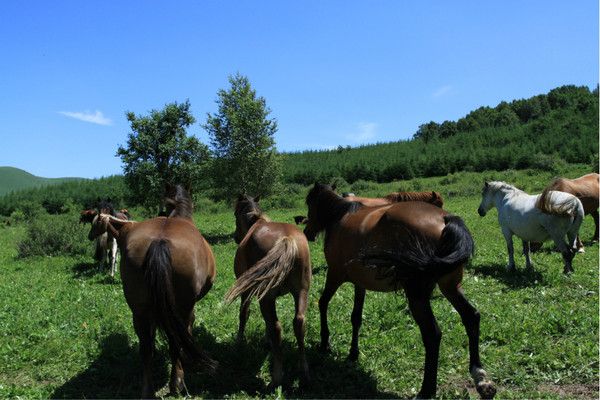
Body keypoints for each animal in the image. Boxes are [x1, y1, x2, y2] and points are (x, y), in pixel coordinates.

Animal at [88, 184, 217, 396]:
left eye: (96, 221)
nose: (90, 235)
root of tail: (160, 242)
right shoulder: (187, 309)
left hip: (139, 311)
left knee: (146, 349)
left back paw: (147, 389)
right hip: (180, 309)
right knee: (175, 341)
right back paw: (177, 382)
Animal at [226, 195, 314, 390]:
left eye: (235, 214)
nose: (236, 237)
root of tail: (286, 239)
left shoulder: (248, 292)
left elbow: (244, 314)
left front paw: (239, 341)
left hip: (266, 297)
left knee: (276, 327)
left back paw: (277, 377)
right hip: (301, 292)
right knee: (299, 322)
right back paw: (304, 372)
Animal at [302, 184, 494, 400]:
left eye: (310, 204)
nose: (307, 232)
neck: (340, 215)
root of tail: (446, 219)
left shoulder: (334, 274)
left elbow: (322, 303)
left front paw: (325, 343)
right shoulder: (360, 283)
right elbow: (356, 318)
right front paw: (353, 353)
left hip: (417, 296)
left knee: (432, 334)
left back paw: (426, 390)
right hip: (451, 287)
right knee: (471, 316)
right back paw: (481, 377)